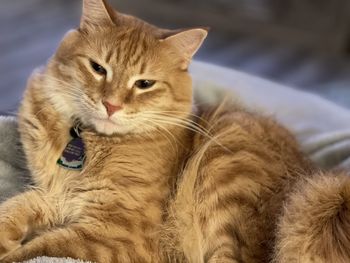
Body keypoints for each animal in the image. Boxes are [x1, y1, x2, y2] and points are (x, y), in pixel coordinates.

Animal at [0, 0, 350, 263]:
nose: (111, 105)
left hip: (226, 164)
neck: (89, 141)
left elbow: (38, 248)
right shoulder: (51, 196)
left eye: (144, 84)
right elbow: (12, 210)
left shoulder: (117, 236)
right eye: (98, 68)